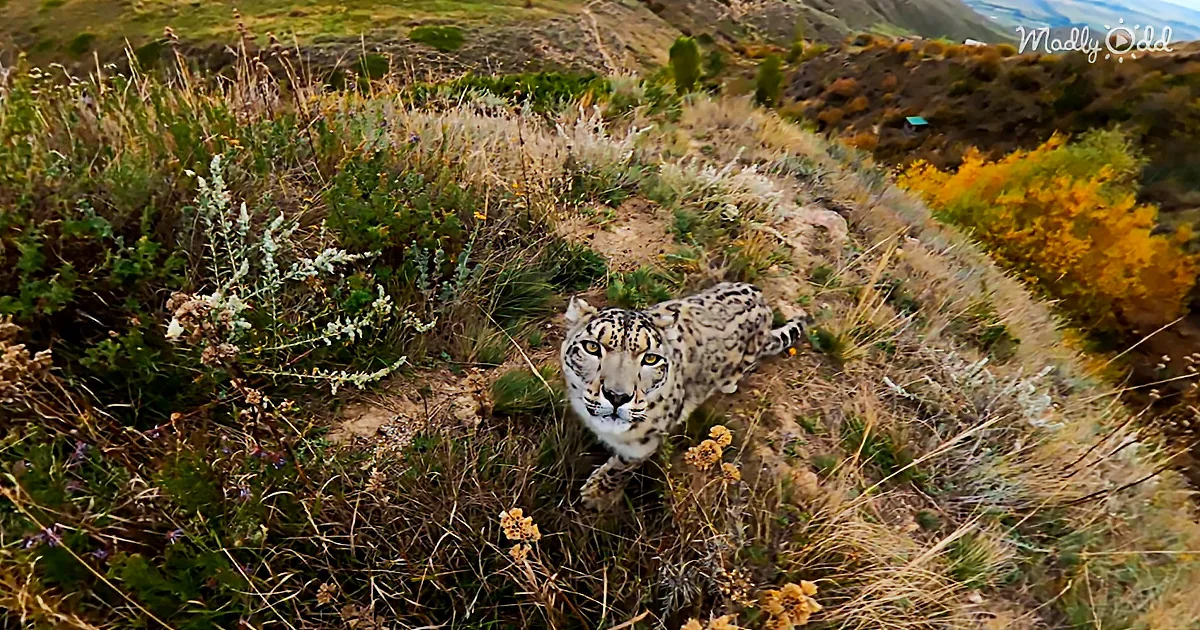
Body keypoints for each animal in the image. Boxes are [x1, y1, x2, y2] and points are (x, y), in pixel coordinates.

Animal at [560, 282, 810, 509]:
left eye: (651, 358)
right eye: (592, 347)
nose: (617, 396)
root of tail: (762, 300)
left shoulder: (645, 444)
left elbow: (622, 467)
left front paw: (597, 493)